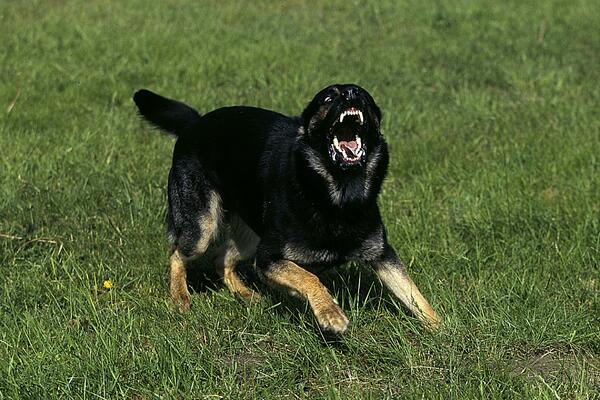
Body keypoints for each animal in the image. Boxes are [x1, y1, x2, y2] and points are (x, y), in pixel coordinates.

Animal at [132, 83, 440, 334]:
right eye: (329, 97)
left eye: (364, 96)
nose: (352, 93)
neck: (336, 198)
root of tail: (195, 123)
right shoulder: (269, 258)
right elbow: (310, 277)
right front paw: (330, 314)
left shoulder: (382, 255)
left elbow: (414, 294)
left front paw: (442, 329)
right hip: (202, 227)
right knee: (177, 254)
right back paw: (180, 298)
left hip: (250, 235)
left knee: (222, 259)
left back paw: (246, 295)